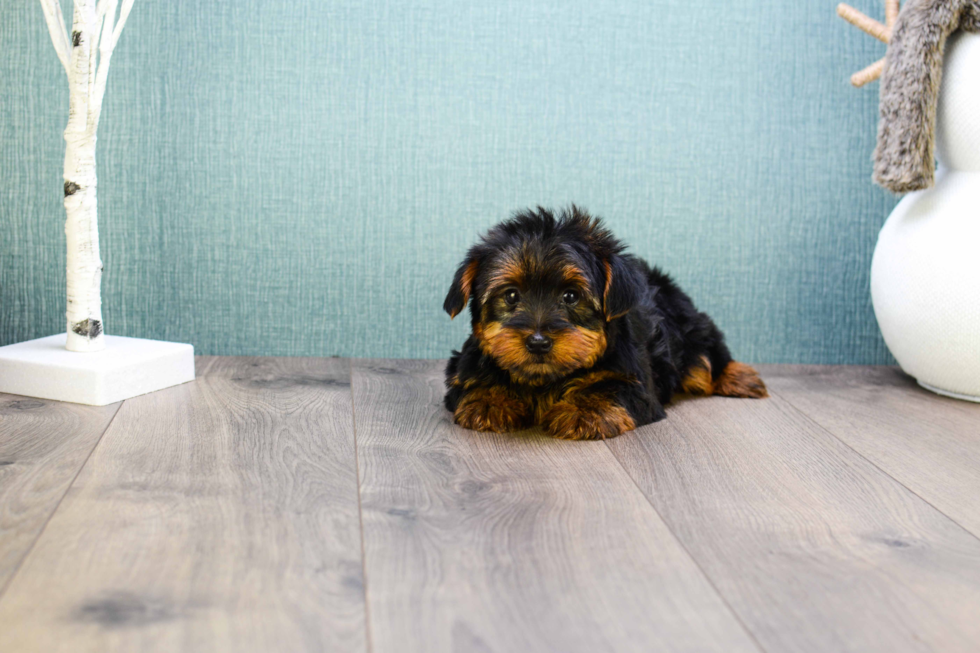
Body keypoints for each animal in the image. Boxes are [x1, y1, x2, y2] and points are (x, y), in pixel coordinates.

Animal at [440, 206, 768, 440]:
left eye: (571, 296)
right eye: (510, 295)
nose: (538, 342)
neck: (545, 379)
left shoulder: (635, 381)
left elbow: (610, 388)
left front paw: (586, 411)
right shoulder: (465, 367)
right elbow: (475, 382)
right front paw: (490, 402)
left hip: (690, 329)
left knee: (707, 357)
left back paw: (740, 378)